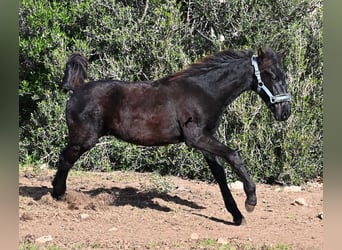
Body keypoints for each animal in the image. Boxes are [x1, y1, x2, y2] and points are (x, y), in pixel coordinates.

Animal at [52, 47, 290, 226]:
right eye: (272, 75)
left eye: (283, 75)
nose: (285, 112)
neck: (203, 93)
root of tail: (76, 89)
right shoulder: (196, 138)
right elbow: (234, 155)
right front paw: (251, 201)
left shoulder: (205, 142)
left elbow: (220, 175)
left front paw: (237, 216)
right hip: (84, 139)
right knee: (64, 159)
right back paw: (58, 195)